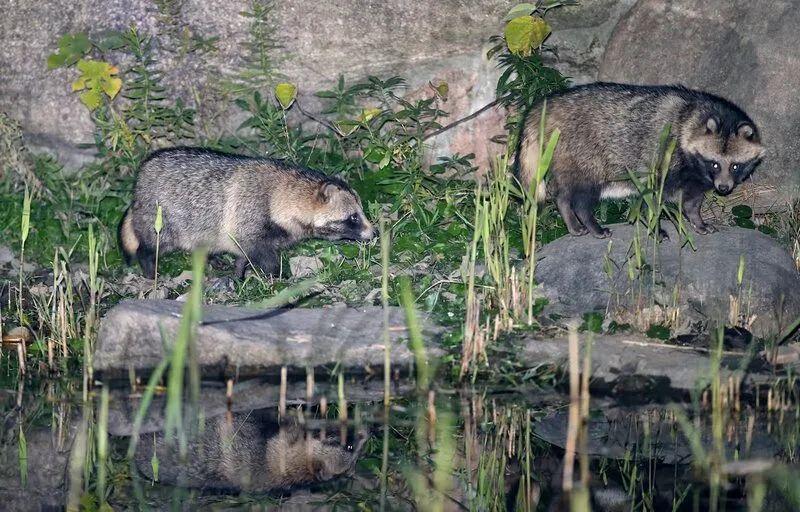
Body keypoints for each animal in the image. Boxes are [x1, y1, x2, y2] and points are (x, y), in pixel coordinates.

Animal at [119, 146, 376, 278]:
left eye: (360, 213)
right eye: (353, 217)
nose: (373, 233)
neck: (281, 193)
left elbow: (243, 254)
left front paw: (238, 272)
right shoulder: (249, 213)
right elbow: (260, 253)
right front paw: (278, 275)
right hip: (161, 216)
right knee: (152, 243)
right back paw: (149, 267)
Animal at [516, 82, 764, 238]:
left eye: (735, 165)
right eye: (715, 163)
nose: (723, 188)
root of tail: (546, 106)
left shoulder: (695, 178)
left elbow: (692, 200)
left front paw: (697, 219)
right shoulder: (662, 159)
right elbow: (651, 199)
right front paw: (655, 227)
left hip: (563, 158)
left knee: (564, 194)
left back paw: (569, 217)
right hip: (582, 154)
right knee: (582, 196)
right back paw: (590, 222)